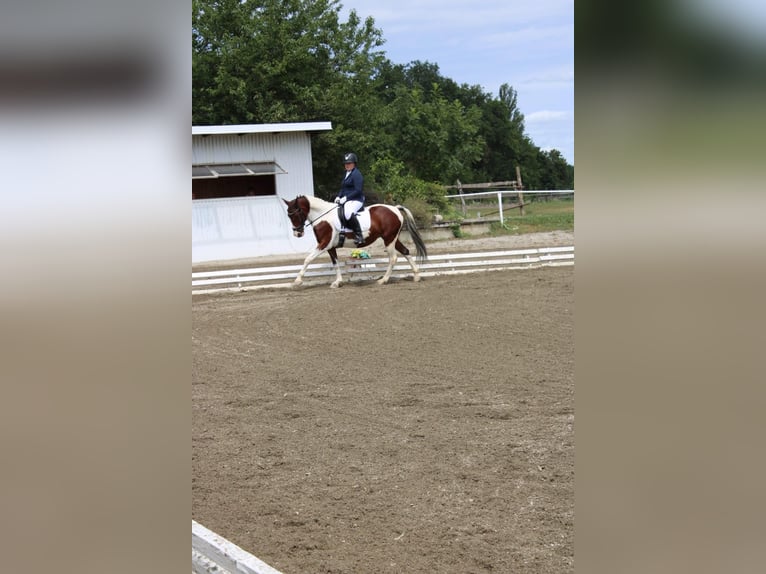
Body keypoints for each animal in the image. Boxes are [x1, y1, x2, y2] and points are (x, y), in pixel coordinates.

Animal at [284, 197, 428, 288]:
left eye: (295, 214)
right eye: (288, 215)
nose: (297, 234)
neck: (323, 217)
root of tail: (395, 208)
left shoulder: (324, 244)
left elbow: (307, 259)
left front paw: (297, 281)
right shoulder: (330, 246)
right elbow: (335, 263)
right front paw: (338, 282)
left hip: (389, 239)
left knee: (393, 258)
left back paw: (383, 280)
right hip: (392, 238)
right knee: (406, 251)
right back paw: (416, 276)